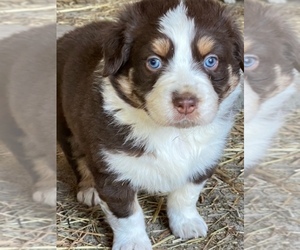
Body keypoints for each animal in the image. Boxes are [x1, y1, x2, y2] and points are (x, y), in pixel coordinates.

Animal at [56, 0, 244, 248]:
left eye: (211, 60)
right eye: (153, 62)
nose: (186, 102)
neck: (172, 134)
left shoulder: (204, 159)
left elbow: (186, 195)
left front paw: (187, 223)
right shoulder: (113, 170)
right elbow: (127, 215)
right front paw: (133, 243)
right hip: (66, 124)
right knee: (78, 157)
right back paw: (89, 189)